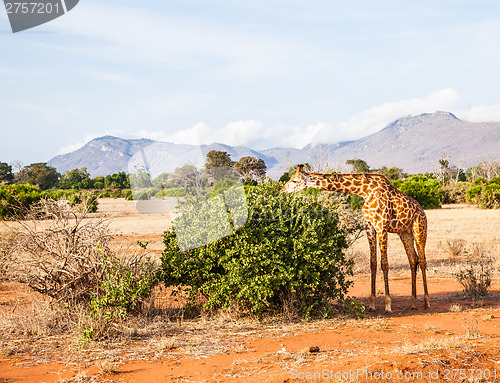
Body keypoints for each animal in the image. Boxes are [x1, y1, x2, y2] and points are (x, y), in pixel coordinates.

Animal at [282, 164, 430, 314]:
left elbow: (384, 264)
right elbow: (373, 264)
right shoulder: (370, 227)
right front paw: (372, 304)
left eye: (294, 180)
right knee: (413, 260)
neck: (364, 191)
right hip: (405, 232)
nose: (282, 191)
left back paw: (426, 302)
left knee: (423, 261)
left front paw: (388, 305)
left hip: (419, 228)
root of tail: (422, 210)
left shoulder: (381, 226)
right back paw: (413, 303)